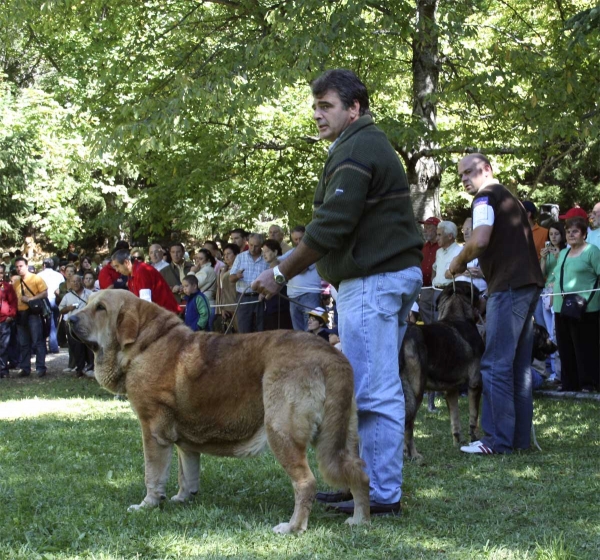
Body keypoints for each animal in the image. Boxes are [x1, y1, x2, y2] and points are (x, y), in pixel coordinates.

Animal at [70, 290, 370, 532]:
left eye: (100, 308)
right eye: (87, 303)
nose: (70, 319)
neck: (145, 343)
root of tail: (331, 356)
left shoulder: (153, 433)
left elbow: (153, 475)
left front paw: (147, 504)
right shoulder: (183, 442)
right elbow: (186, 472)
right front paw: (182, 498)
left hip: (282, 432)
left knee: (306, 483)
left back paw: (293, 527)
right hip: (341, 436)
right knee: (358, 472)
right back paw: (359, 520)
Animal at [400, 282, 486, 458]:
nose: (484, 296)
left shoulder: (451, 390)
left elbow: (455, 420)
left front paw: (457, 444)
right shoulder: (475, 382)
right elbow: (473, 417)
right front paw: (475, 439)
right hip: (416, 389)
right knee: (408, 425)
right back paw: (414, 455)